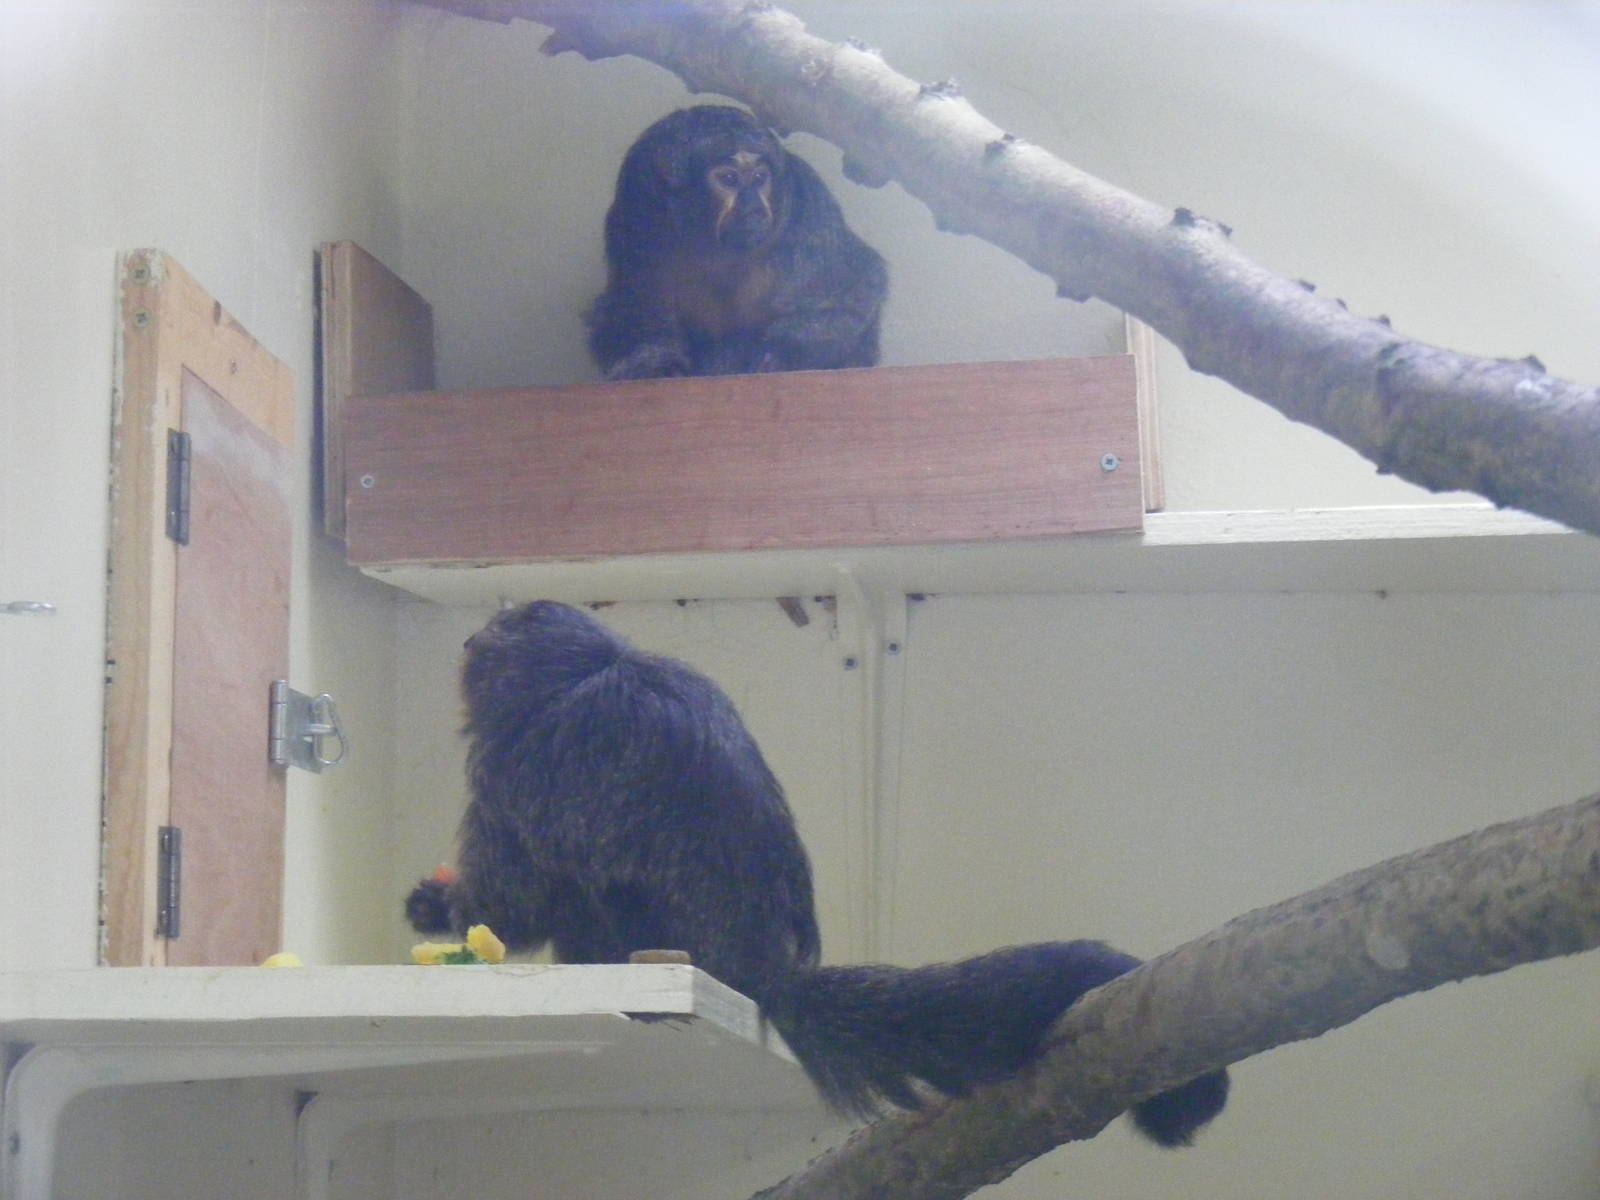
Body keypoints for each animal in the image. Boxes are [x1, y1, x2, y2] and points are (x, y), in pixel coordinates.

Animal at [406, 601, 1229, 1145]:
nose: (472, 642)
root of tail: (762, 973)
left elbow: (519, 896)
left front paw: (443, 909)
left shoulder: (521, 757)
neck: (596, 669)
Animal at [585, 105, 888, 380]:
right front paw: (656, 367)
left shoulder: (807, 199)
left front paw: (781, 352)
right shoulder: (634, 210)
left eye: (759, 178)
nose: (754, 208)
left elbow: (858, 283)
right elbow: (630, 305)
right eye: (729, 179)